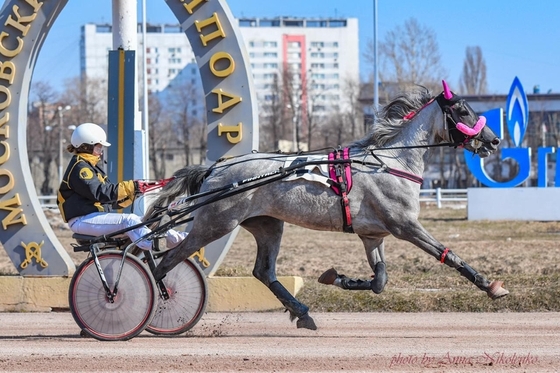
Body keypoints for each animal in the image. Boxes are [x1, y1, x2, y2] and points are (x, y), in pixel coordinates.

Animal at [148, 80, 508, 328]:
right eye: (463, 110)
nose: (493, 140)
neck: (389, 162)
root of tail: (214, 168)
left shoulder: (372, 235)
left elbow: (379, 280)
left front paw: (336, 277)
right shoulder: (405, 226)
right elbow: (448, 255)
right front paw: (491, 286)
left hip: (267, 224)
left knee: (263, 271)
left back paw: (302, 313)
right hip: (216, 222)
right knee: (166, 262)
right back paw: (159, 304)